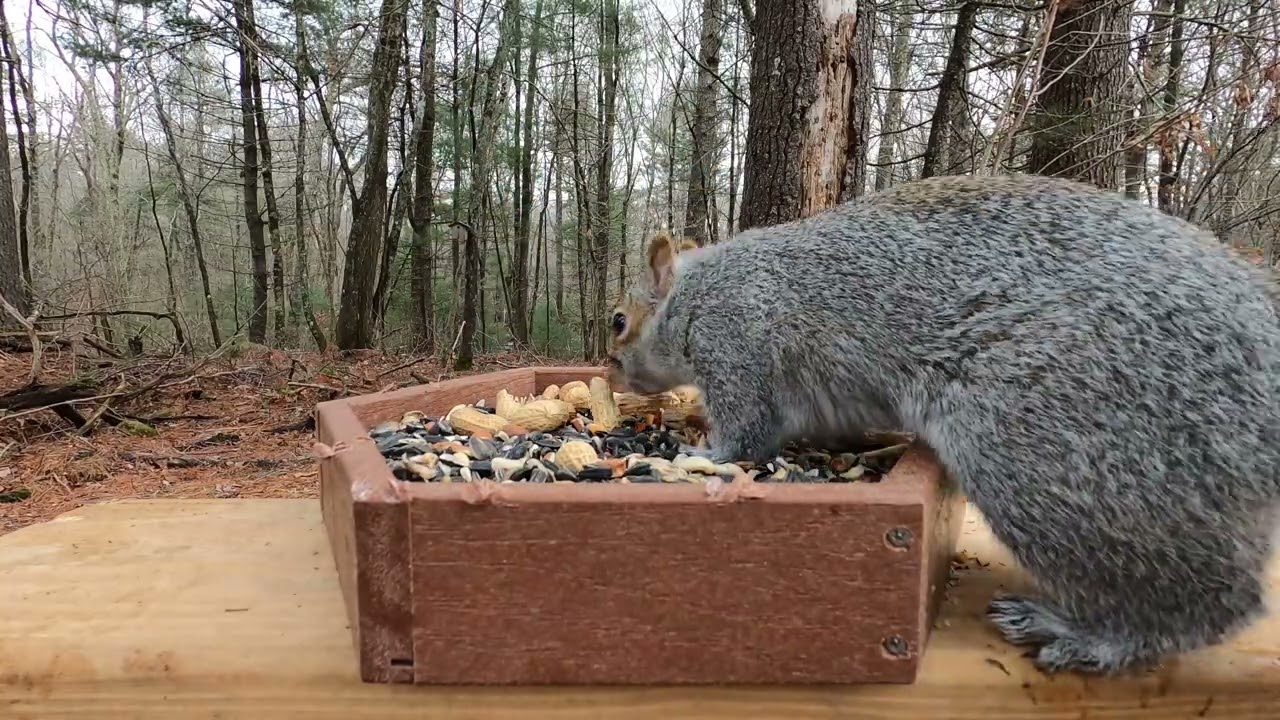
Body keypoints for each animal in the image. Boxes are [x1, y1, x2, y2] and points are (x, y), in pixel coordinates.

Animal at [606, 173, 1280, 675]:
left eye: (618, 321)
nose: (612, 375)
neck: (698, 294)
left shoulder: (739, 343)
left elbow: (747, 432)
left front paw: (697, 452)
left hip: (1049, 441)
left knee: (1212, 602)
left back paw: (1086, 635)